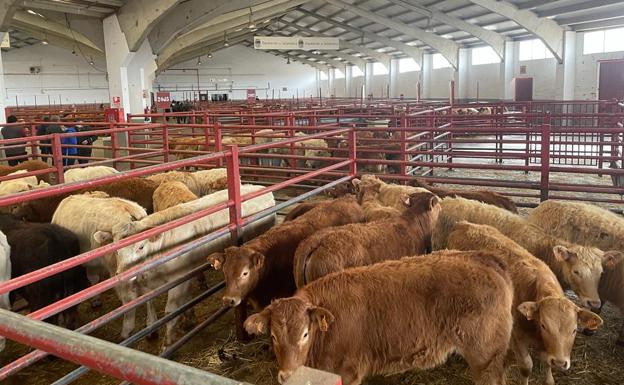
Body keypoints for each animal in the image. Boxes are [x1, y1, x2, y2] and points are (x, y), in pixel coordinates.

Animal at [246, 249, 516, 384]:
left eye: (304, 334)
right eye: (273, 336)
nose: (286, 376)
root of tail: (485, 258)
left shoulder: (348, 372)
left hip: (486, 356)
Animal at [446, 220, 604, 384]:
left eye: (574, 330)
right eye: (544, 325)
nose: (560, 363)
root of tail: (464, 224)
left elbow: (547, 366)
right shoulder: (517, 337)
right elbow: (526, 366)